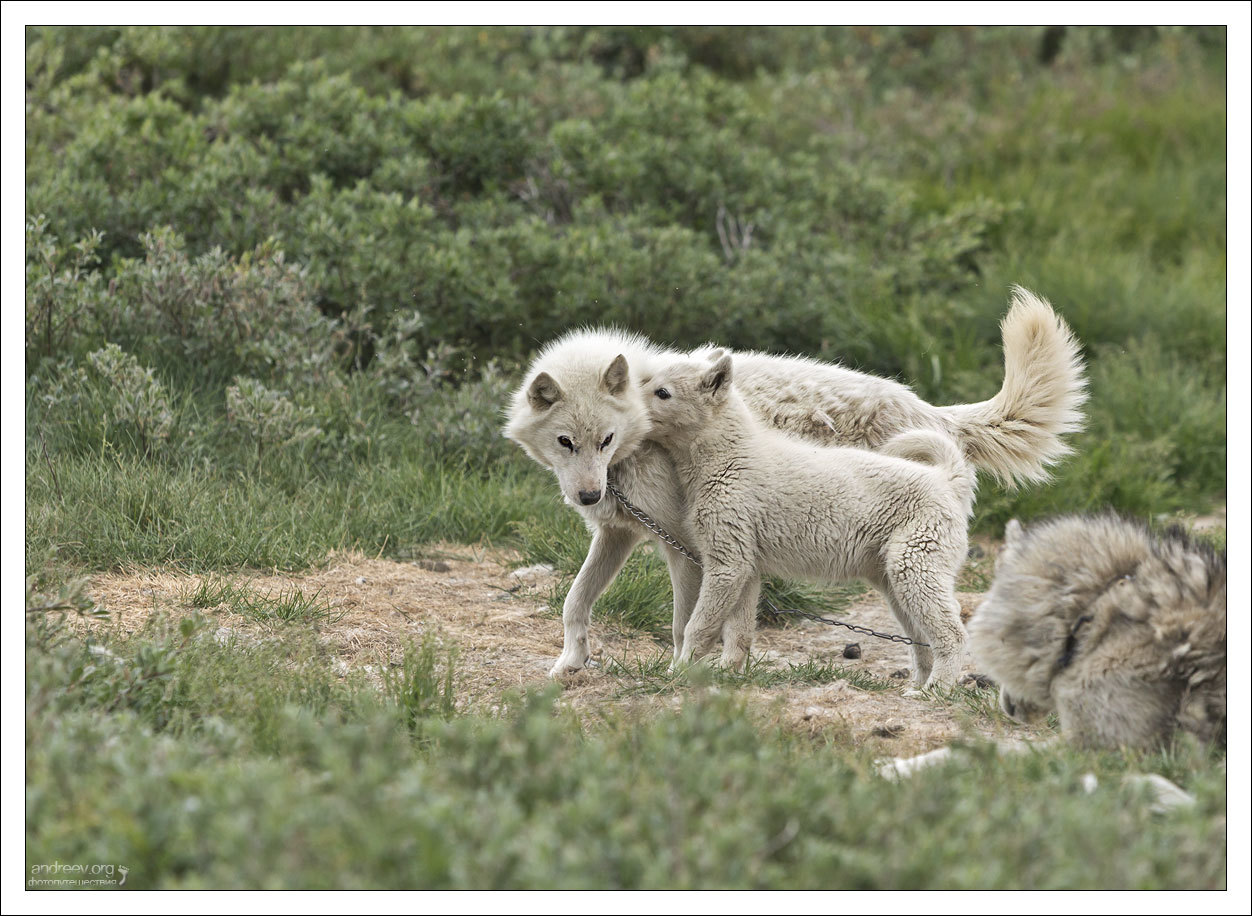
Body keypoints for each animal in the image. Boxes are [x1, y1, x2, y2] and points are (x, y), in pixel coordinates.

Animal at [500, 290, 1086, 675]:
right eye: (565, 443)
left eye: (605, 439)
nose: (589, 495)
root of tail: (930, 412)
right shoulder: (619, 534)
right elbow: (575, 601)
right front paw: (570, 662)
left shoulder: (691, 547)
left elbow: (686, 623)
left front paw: (679, 673)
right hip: (894, 574)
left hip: (908, 565)